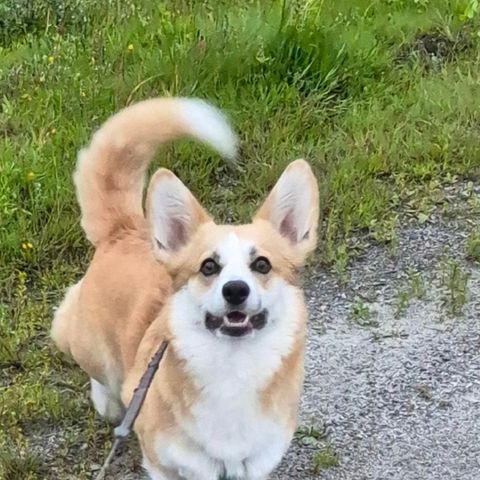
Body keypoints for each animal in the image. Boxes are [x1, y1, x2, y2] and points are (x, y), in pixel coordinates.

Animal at [51, 95, 318, 478]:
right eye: (209, 266)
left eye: (262, 265)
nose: (235, 290)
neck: (232, 369)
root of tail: (124, 229)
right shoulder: (164, 464)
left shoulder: (256, 463)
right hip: (86, 345)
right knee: (100, 375)